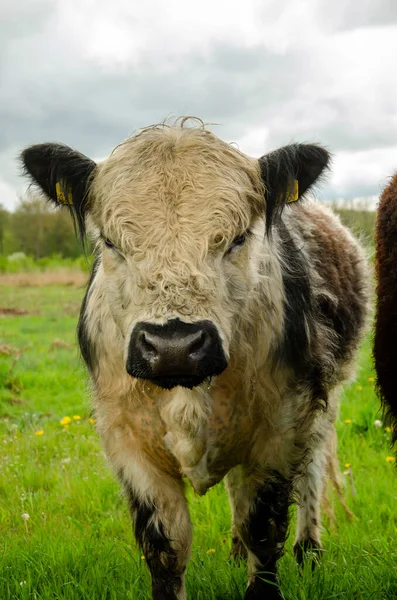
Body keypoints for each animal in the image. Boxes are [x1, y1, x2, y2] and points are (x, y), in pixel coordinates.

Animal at [20, 120, 368, 600]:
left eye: (239, 238)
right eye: (110, 242)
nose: (174, 346)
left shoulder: (281, 428)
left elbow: (263, 526)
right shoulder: (126, 438)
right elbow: (166, 543)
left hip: (325, 404)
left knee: (312, 472)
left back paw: (309, 551)